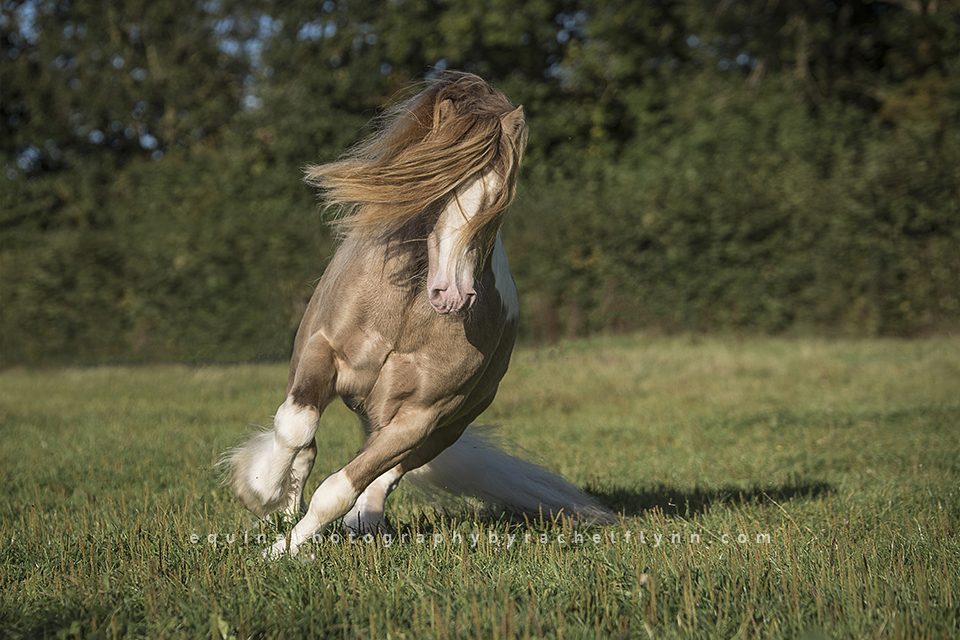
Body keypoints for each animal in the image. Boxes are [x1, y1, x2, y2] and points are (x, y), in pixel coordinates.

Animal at [221, 72, 612, 556]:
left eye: (498, 203)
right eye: (438, 190)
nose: (452, 295)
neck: (404, 315)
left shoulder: (421, 417)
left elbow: (342, 488)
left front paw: (286, 551)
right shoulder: (322, 351)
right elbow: (295, 428)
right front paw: (263, 494)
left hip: (441, 429)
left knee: (385, 476)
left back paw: (363, 524)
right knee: (305, 444)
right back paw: (285, 503)